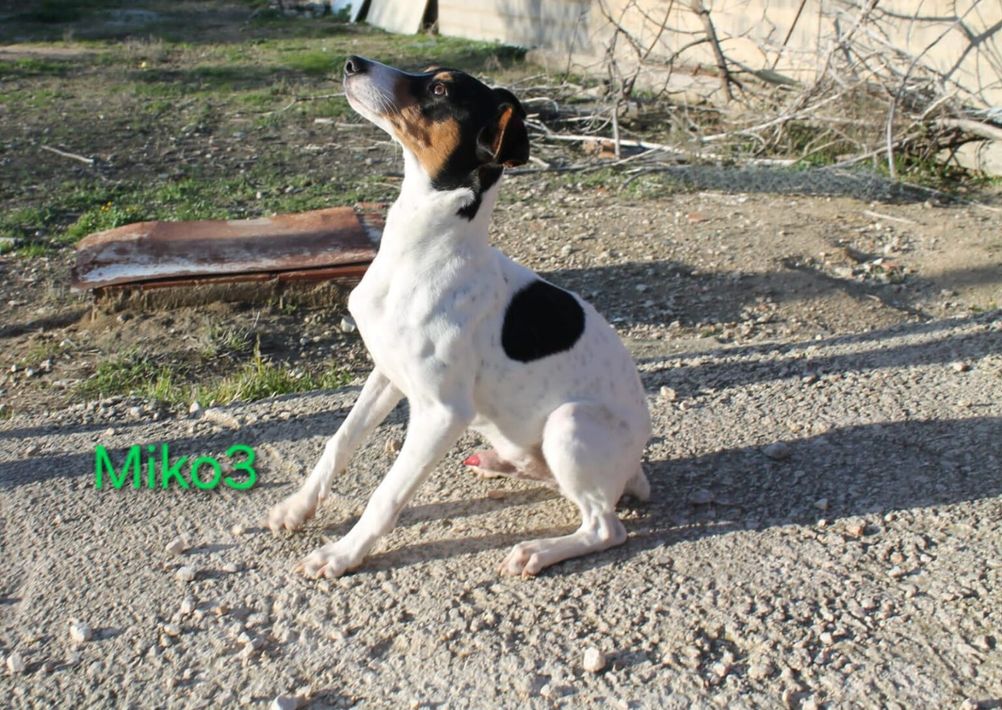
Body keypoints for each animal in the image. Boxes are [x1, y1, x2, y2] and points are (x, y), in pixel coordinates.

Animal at [267, 56, 651, 577]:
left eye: (440, 89)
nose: (351, 62)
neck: (420, 251)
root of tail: (636, 466)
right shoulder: (386, 374)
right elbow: (339, 443)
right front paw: (298, 507)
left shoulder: (441, 414)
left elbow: (386, 496)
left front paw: (343, 554)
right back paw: (501, 465)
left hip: (569, 422)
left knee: (604, 527)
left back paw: (538, 550)